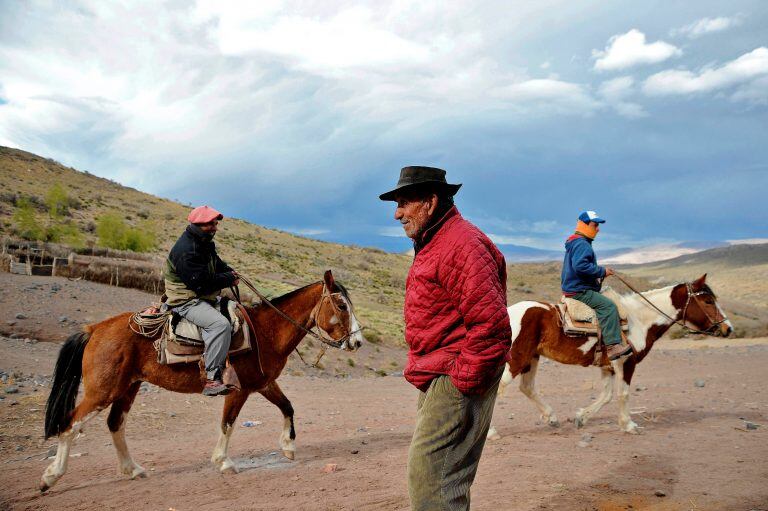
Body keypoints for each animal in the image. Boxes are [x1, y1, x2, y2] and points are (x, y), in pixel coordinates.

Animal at [40, 272, 364, 492]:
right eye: (341, 305)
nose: (358, 342)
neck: (265, 331)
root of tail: (95, 329)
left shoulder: (263, 384)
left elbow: (288, 407)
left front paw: (288, 446)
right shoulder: (238, 389)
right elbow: (228, 423)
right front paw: (224, 462)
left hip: (127, 387)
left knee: (115, 424)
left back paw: (133, 470)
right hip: (102, 391)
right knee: (70, 425)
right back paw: (50, 477)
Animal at [486, 274, 732, 438]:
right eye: (708, 301)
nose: (727, 328)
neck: (638, 320)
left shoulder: (608, 366)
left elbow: (606, 395)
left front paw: (581, 418)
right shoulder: (627, 361)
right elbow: (623, 394)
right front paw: (628, 425)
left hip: (531, 358)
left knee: (527, 387)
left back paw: (552, 417)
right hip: (517, 358)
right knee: (498, 388)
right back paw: (491, 432)